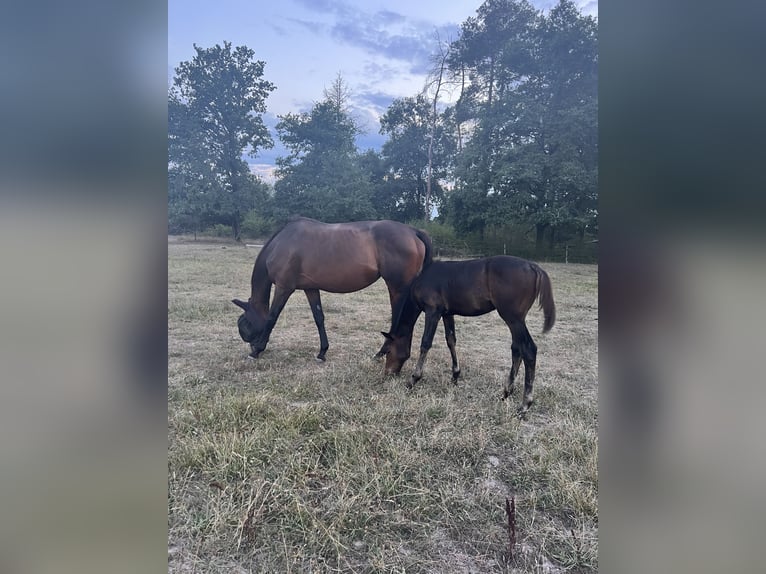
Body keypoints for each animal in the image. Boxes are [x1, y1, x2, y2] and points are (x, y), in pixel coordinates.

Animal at [231, 218, 436, 362]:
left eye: (244, 324)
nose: (251, 346)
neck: (283, 243)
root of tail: (413, 231)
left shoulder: (283, 287)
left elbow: (272, 317)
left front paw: (257, 351)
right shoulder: (311, 288)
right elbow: (319, 318)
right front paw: (322, 352)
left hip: (397, 288)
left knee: (397, 320)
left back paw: (381, 353)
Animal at [384, 256, 560, 414]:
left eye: (388, 351)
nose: (388, 373)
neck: (425, 277)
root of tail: (533, 267)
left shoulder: (432, 310)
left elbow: (426, 343)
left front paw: (413, 379)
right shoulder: (447, 313)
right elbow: (451, 340)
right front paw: (455, 376)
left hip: (513, 318)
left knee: (528, 350)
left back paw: (524, 404)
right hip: (514, 320)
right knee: (516, 349)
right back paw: (506, 392)